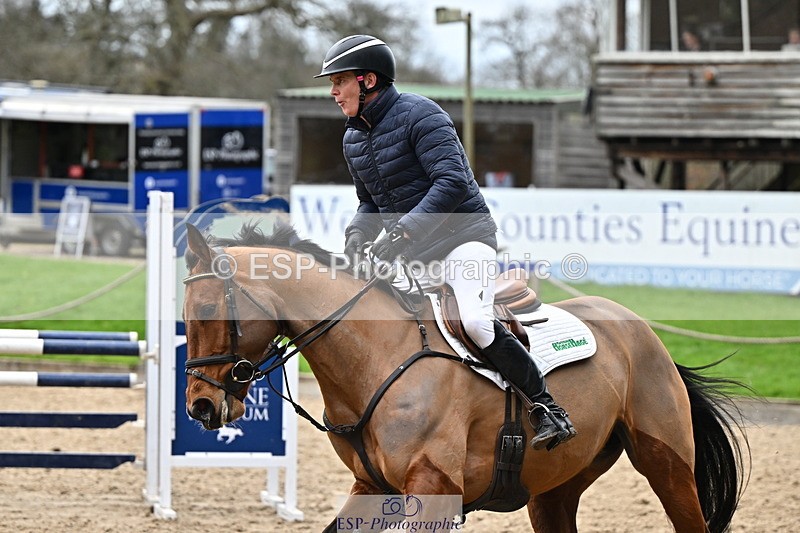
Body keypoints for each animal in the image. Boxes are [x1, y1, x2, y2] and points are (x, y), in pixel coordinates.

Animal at [181, 222, 748, 532]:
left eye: (207, 311)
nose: (200, 406)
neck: (376, 359)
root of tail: (642, 330)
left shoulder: (433, 490)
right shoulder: (371, 488)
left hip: (667, 465)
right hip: (554, 490)